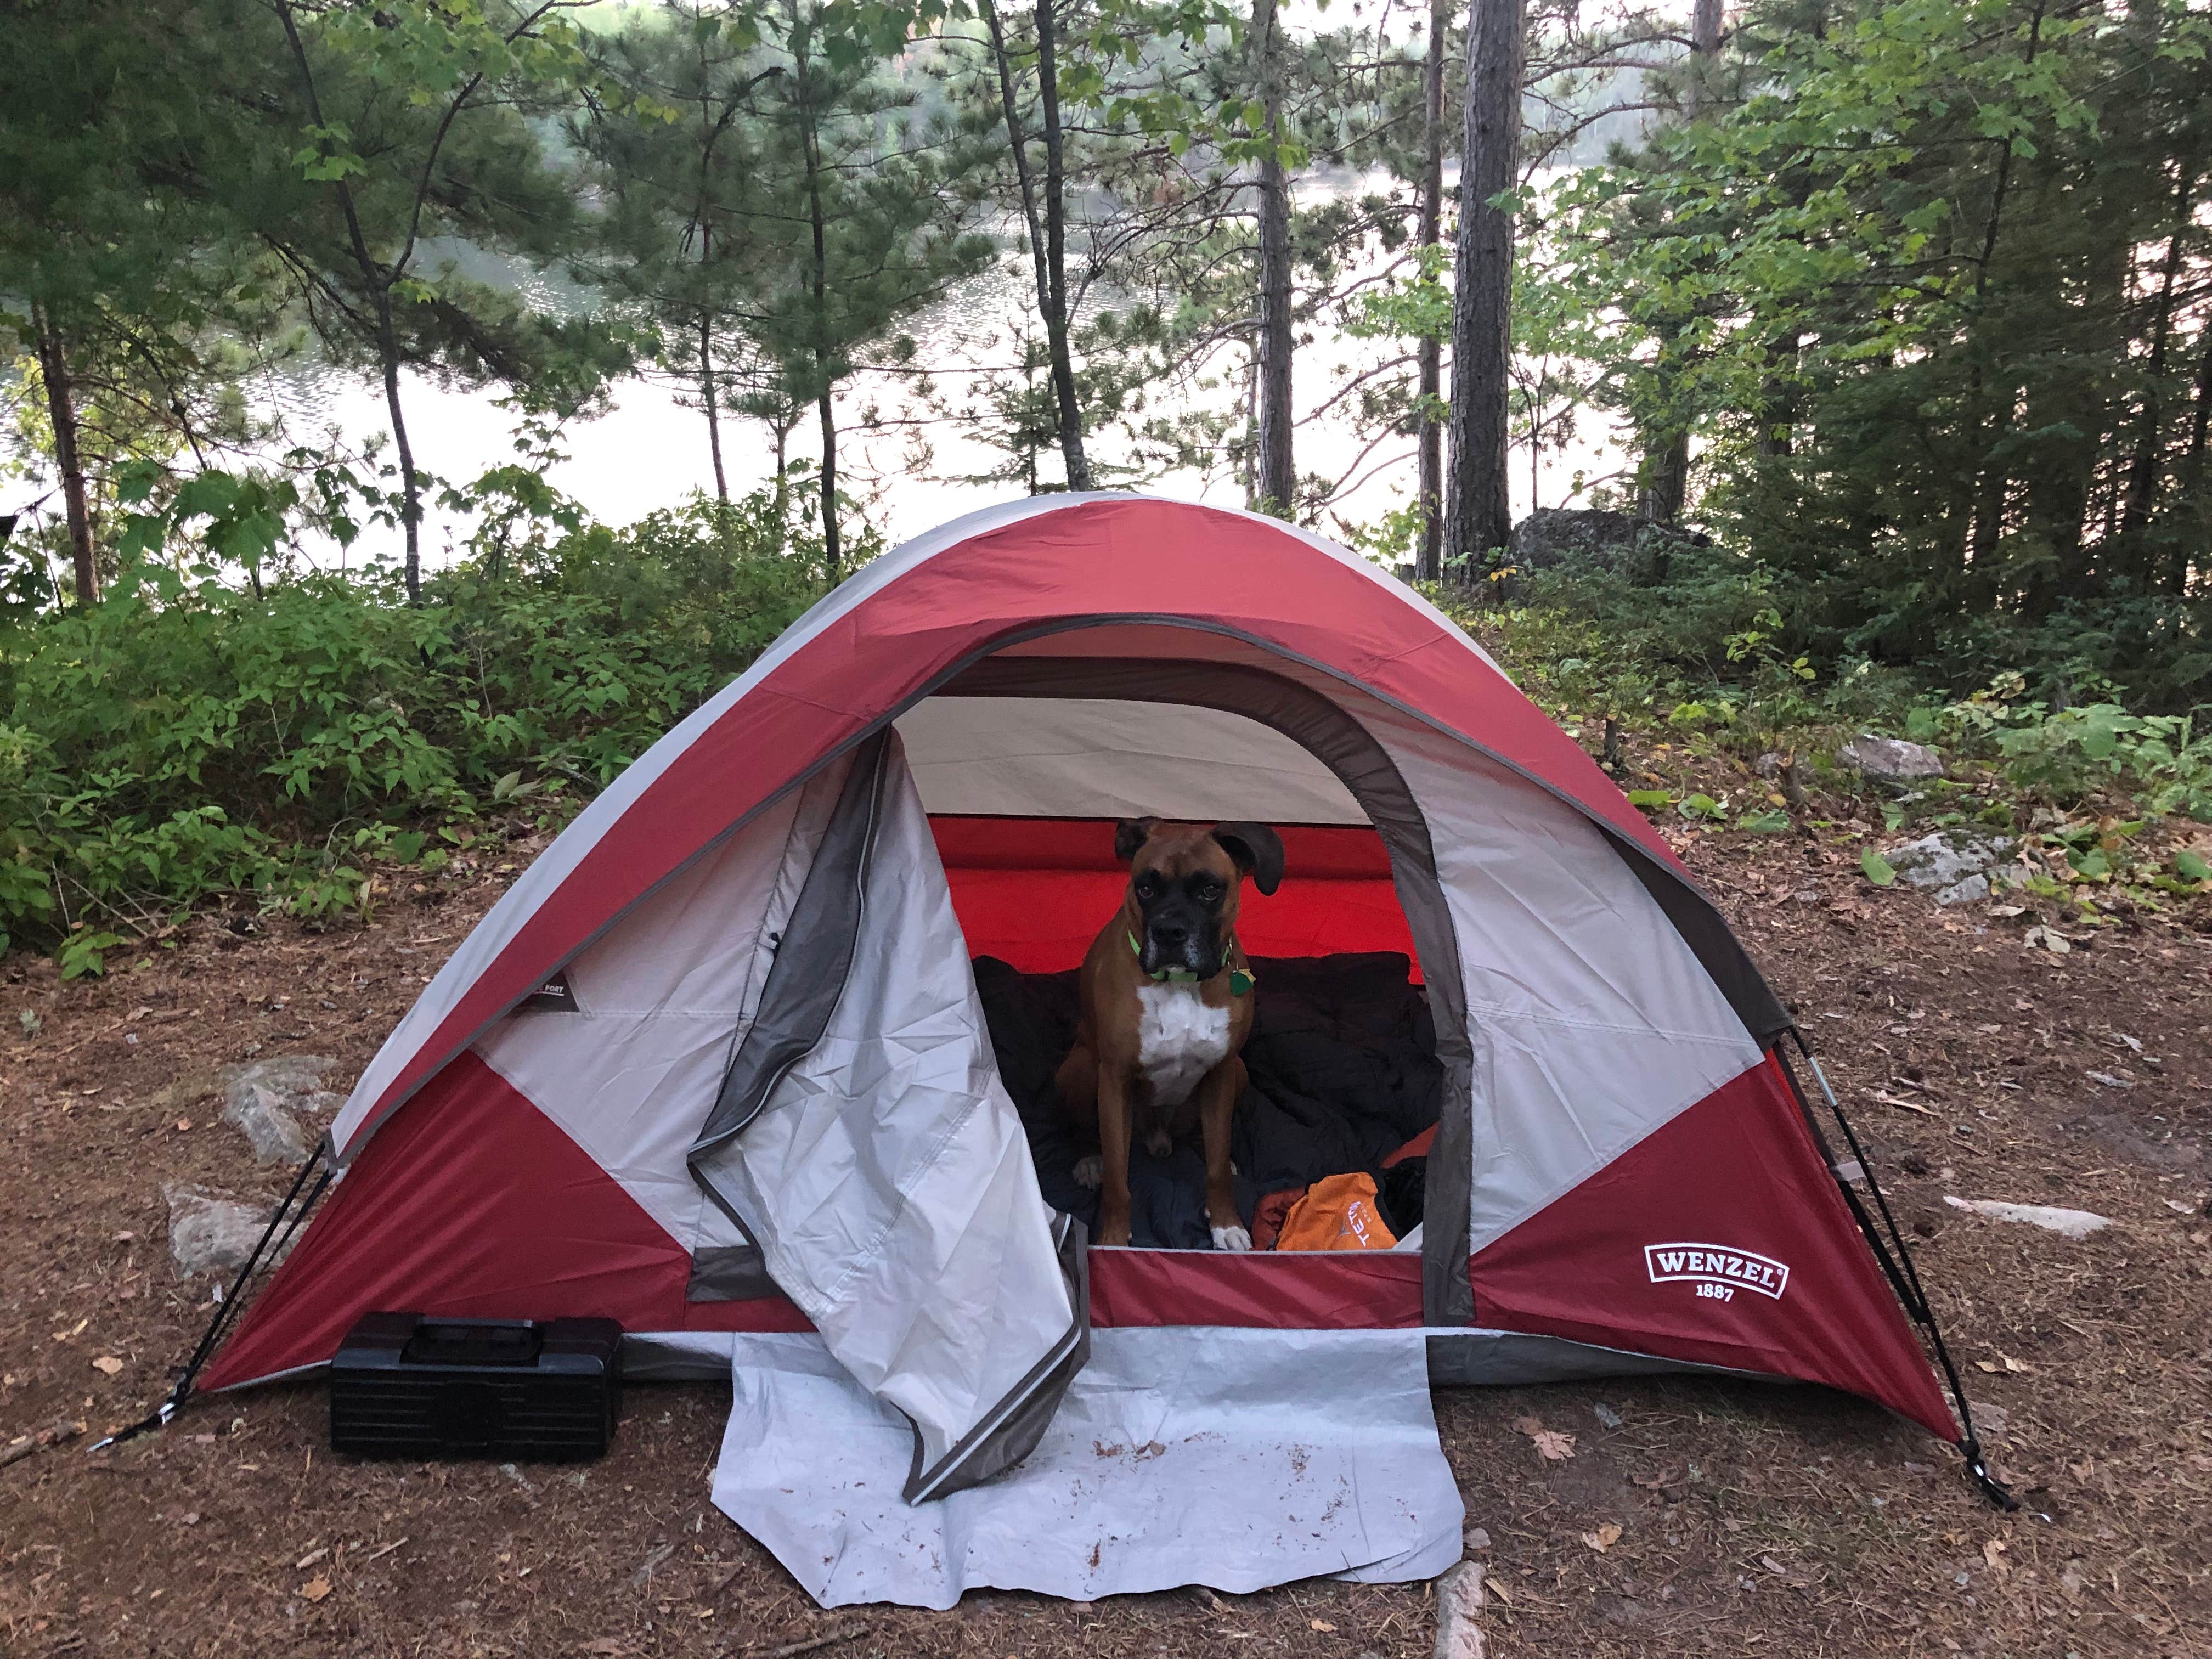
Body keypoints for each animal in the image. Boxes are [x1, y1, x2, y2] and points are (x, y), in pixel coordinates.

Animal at [1057, 818, 1291, 1248]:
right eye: (1146, 888)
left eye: (1210, 890)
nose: (1169, 931)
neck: (1182, 984)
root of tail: (1157, 1136)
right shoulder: (1114, 1079)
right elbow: (1118, 1177)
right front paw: (1113, 1238)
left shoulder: (1221, 1073)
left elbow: (1215, 1167)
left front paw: (1225, 1222)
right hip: (1081, 1070)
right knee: (1088, 1131)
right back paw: (1089, 1161)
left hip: (1239, 1075)